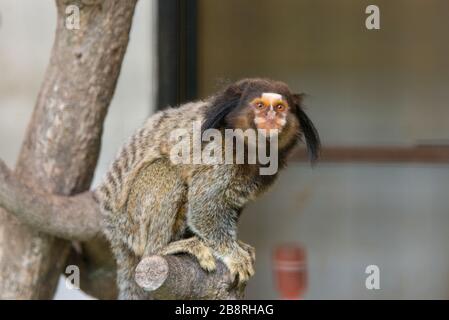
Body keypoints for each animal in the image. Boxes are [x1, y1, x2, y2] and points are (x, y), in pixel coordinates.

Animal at [95, 78, 318, 300]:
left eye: (280, 107)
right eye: (260, 106)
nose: (271, 117)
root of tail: (113, 232)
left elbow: (231, 202)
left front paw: (237, 244)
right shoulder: (220, 151)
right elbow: (204, 208)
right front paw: (233, 255)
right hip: (130, 223)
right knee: (167, 171)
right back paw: (164, 248)